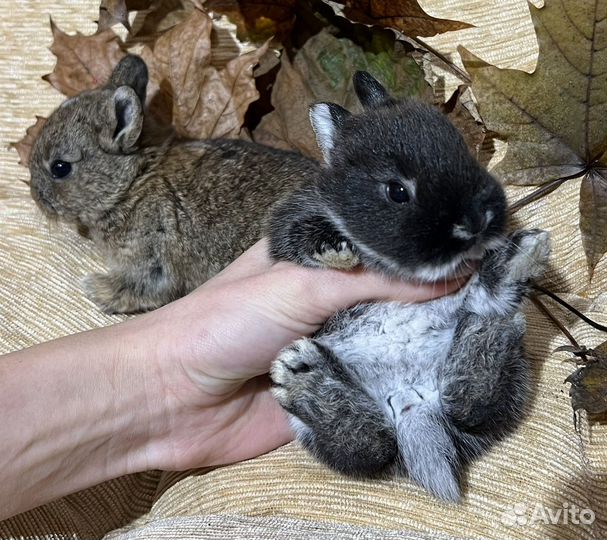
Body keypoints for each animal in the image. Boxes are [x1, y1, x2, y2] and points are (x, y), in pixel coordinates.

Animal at [27, 54, 318, 312]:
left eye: (60, 168)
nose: (37, 198)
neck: (131, 184)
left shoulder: (153, 254)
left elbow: (142, 289)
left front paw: (96, 288)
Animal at [270, 73, 552, 502]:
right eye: (397, 191)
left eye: (462, 149)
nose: (476, 221)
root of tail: (412, 402)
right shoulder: (287, 227)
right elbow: (301, 237)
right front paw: (338, 251)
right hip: (317, 428)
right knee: (372, 445)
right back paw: (306, 379)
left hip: (504, 375)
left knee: (469, 401)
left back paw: (510, 269)